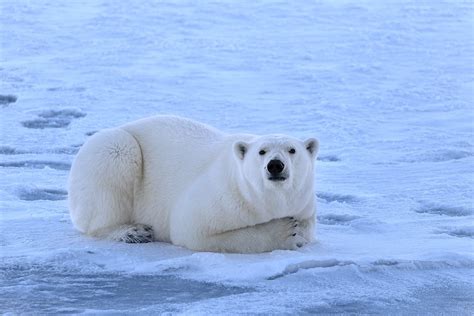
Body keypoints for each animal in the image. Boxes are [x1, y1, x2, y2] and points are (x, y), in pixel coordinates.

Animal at [67, 115, 318, 253]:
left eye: (292, 150)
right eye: (261, 151)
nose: (275, 165)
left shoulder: (303, 203)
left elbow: (307, 228)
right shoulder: (225, 195)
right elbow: (193, 229)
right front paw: (286, 232)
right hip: (112, 149)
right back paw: (132, 231)